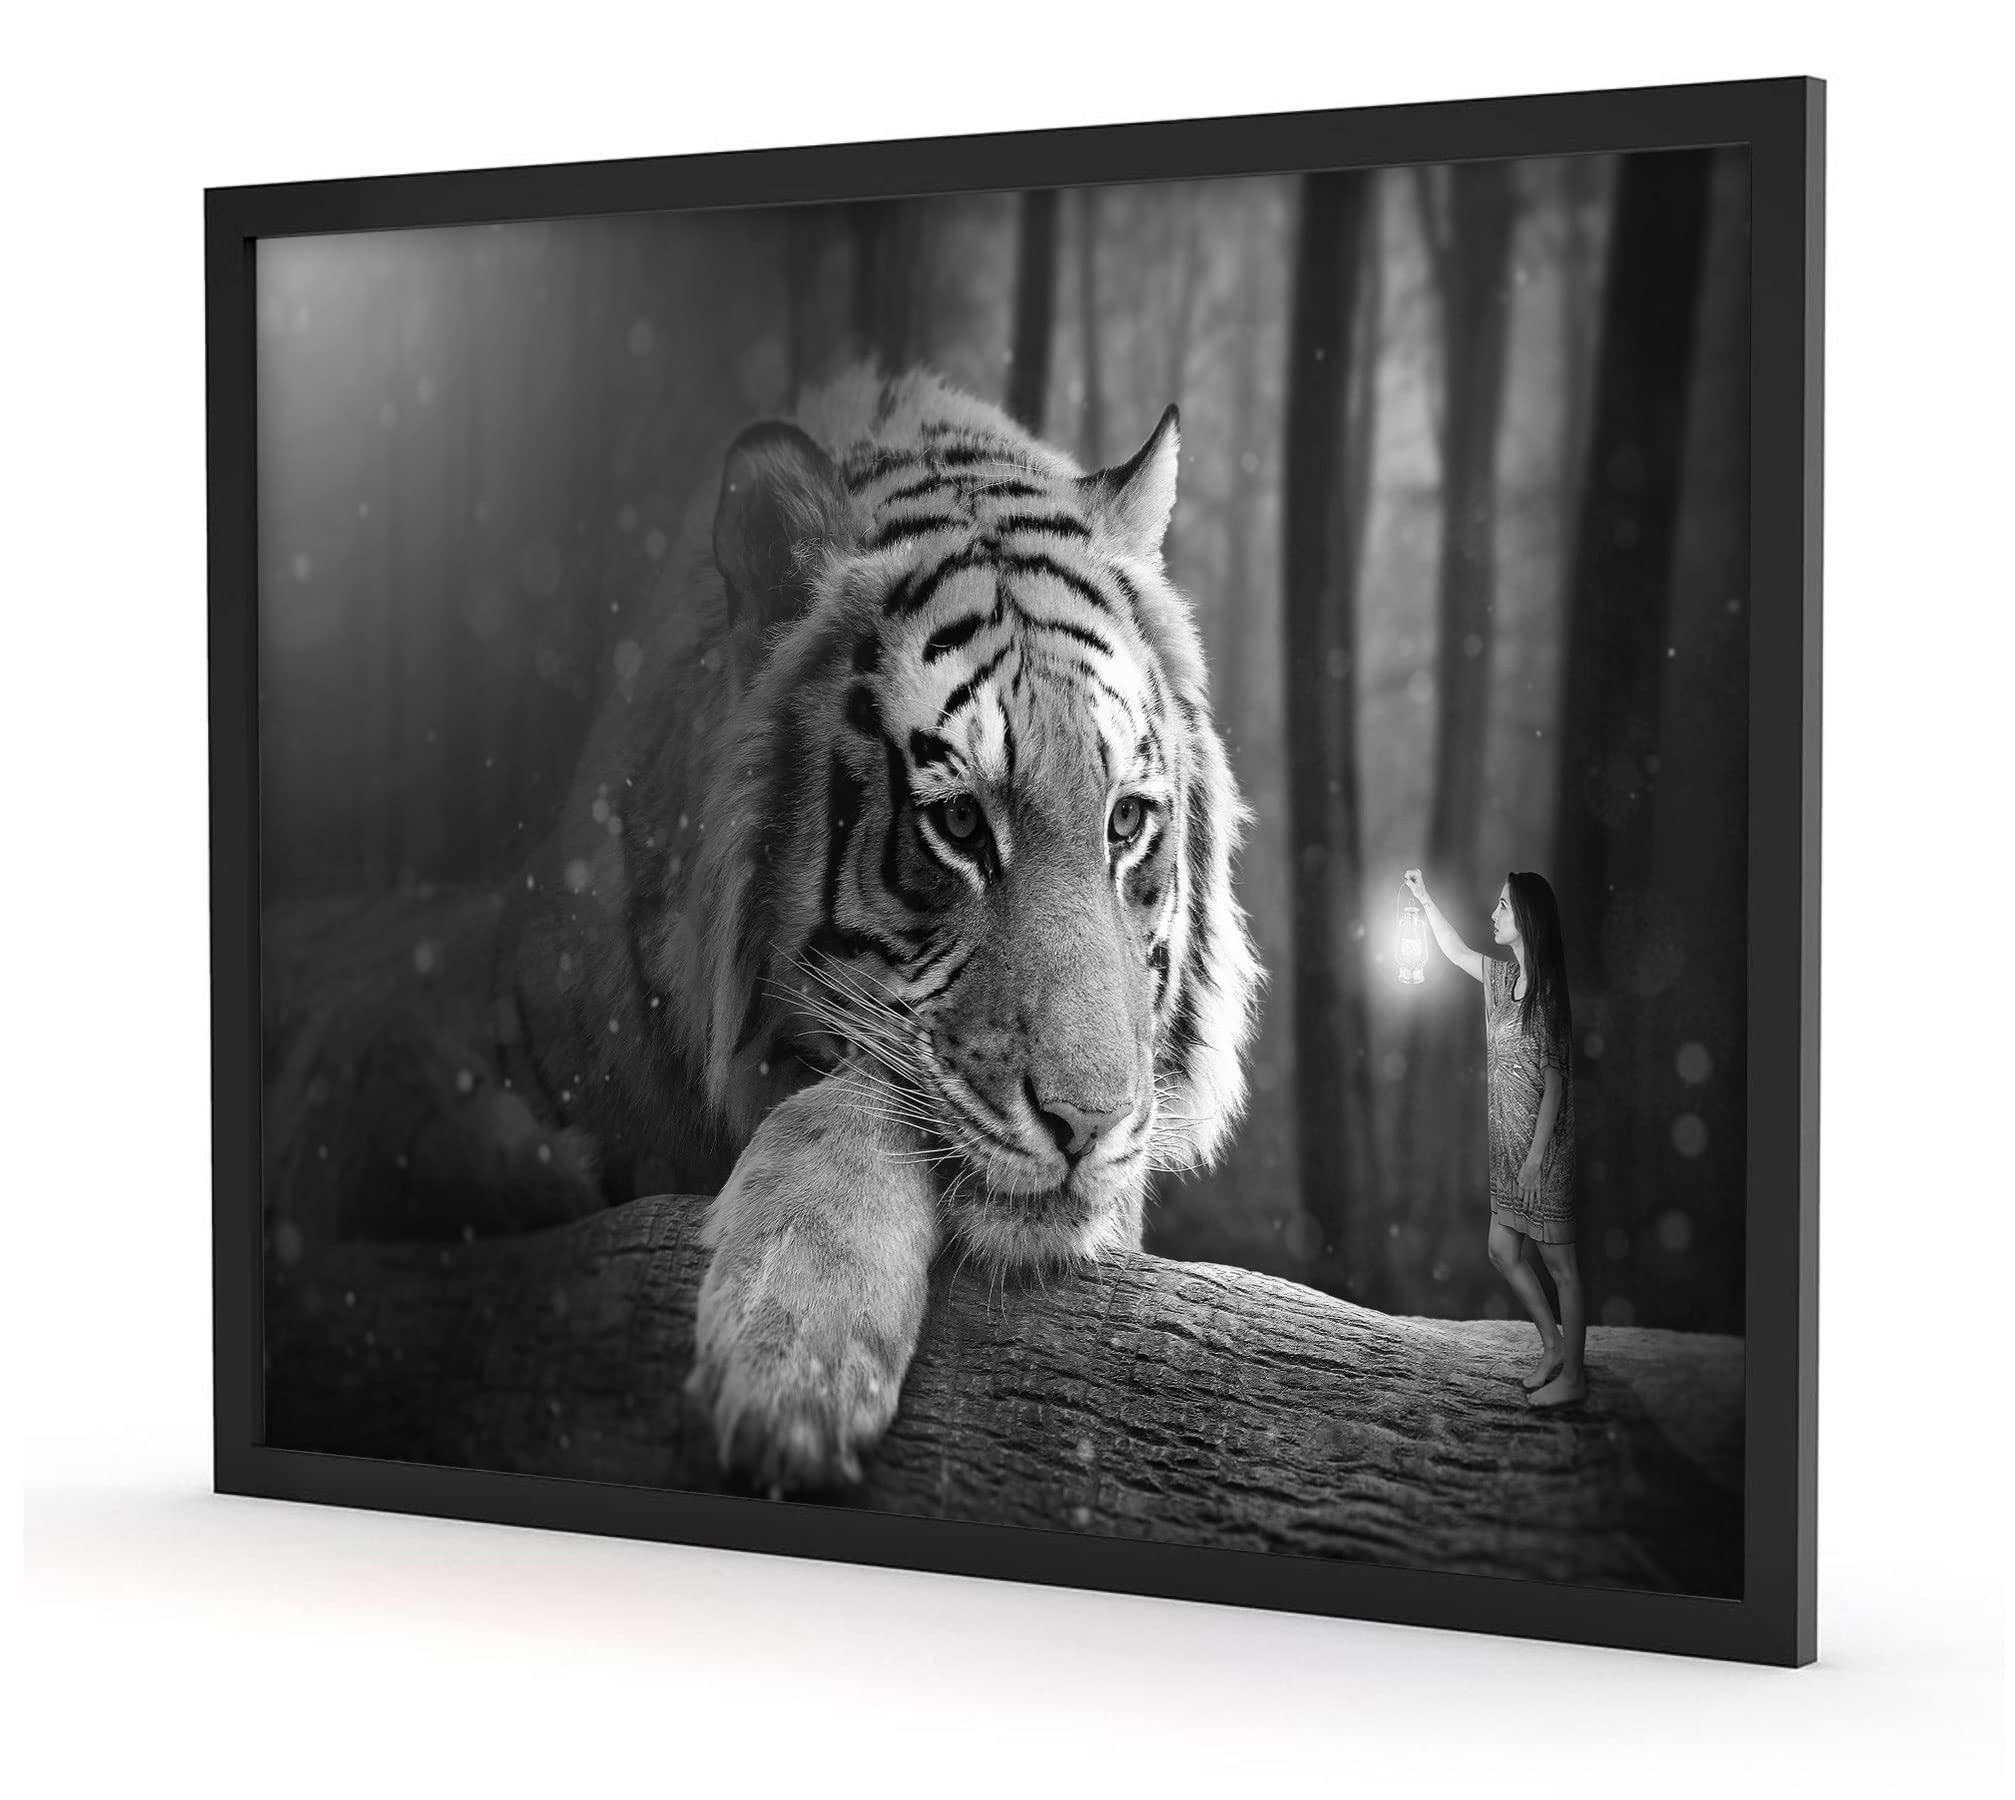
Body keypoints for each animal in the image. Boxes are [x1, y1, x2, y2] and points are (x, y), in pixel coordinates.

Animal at [266, 364, 1260, 1494]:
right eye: (960, 824)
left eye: (1123, 822)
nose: (1090, 1128)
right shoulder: (381, 1048)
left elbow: (863, 1095)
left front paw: (792, 1362)